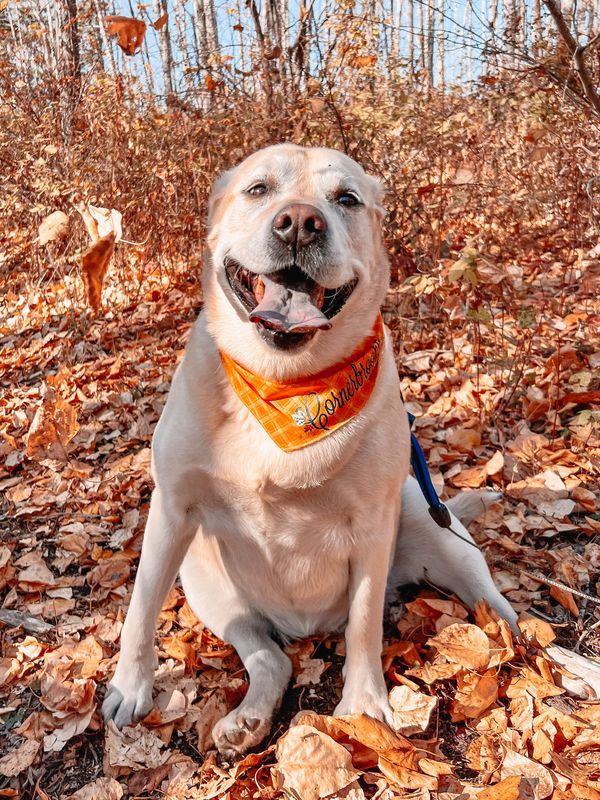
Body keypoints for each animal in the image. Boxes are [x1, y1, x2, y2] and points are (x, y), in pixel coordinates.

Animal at [102, 142, 516, 756]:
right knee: (271, 659)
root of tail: (307, 628)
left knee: (498, 610)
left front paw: (364, 706)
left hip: (432, 524)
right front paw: (130, 687)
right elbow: (140, 607)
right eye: (258, 189)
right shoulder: (172, 509)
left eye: (346, 198)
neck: (286, 382)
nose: (299, 222)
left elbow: (365, 623)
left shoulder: (373, 525)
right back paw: (248, 719)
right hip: (205, 578)